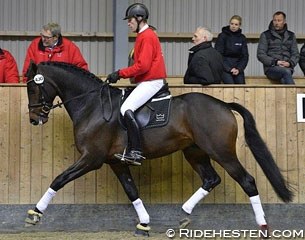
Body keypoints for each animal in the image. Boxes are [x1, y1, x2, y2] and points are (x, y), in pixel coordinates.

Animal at [25, 61, 290, 235]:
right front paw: (144, 223)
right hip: (195, 152)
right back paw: (183, 215)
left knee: (247, 181)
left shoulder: (92, 158)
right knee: (211, 179)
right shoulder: (116, 161)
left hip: (221, 152)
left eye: (33, 87)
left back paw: (262, 226)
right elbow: (132, 191)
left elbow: (59, 179)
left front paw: (35, 214)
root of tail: (223, 104)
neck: (92, 105)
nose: (34, 119)